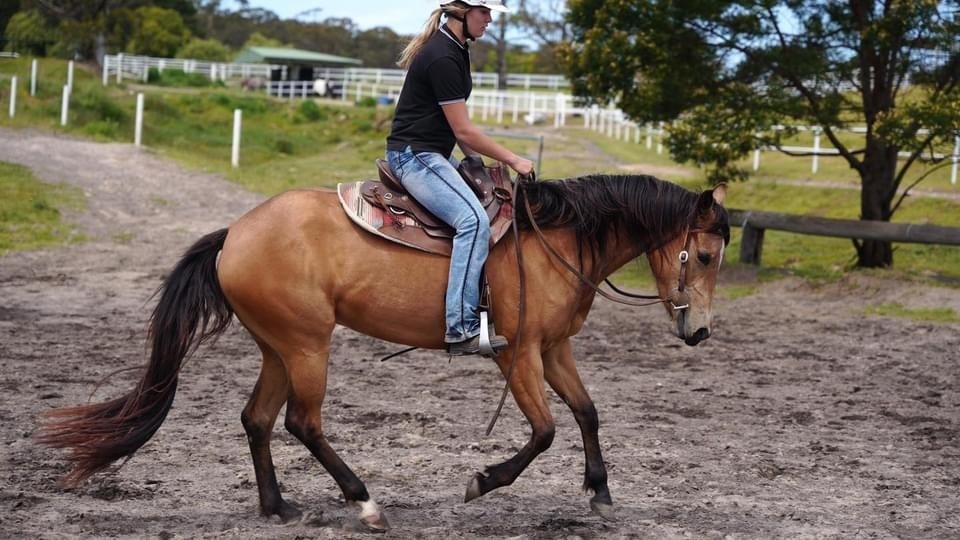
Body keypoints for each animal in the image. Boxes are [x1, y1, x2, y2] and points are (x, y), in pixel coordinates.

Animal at [39, 173, 729, 532]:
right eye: (706, 254)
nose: (700, 333)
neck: (552, 240)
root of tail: (235, 233)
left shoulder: (555, 349)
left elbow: (586, 413)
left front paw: (600, 492)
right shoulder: (518, 355)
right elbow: (544, 431)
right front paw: (483, 481)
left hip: (277, 346)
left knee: (258, 420)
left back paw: (277, 506)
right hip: (307, 345)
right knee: (302, 421)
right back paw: (363, 500)